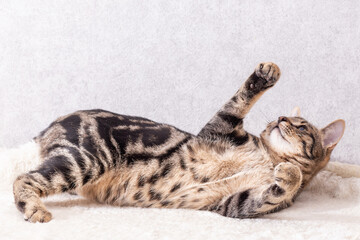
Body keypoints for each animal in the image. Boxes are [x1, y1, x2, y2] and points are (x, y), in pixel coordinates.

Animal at [11, 62, 346, 223]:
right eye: (281, 117)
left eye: (301, 127)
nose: (280, 119)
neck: (269, 157)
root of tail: (50, 127)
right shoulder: (219, 127)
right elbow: (239, 100)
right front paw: (264, 76)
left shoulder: (235, 204)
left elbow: (273, 190)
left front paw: (289, 174)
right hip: (88, 158)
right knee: (22, 178)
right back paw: (34, 208)